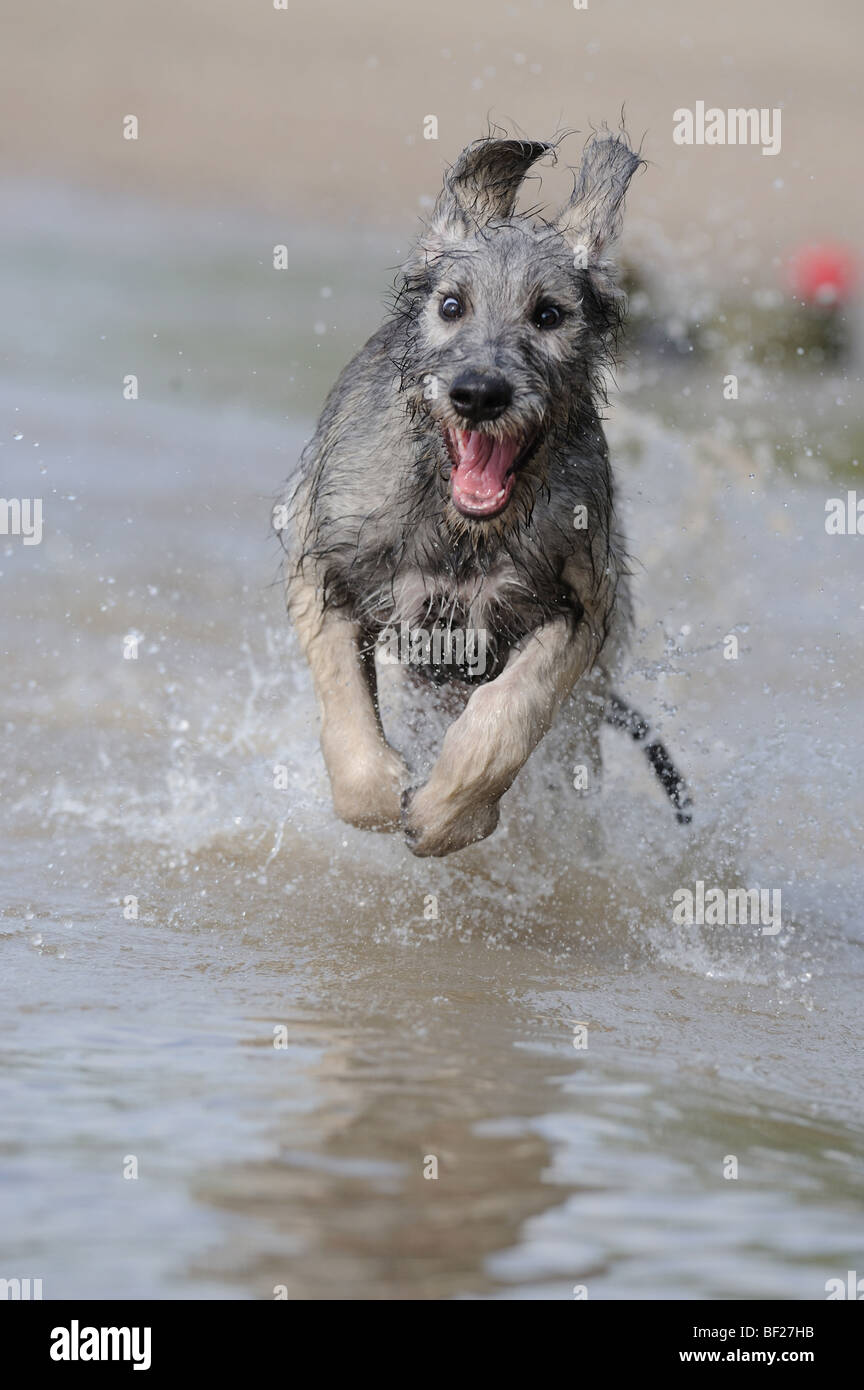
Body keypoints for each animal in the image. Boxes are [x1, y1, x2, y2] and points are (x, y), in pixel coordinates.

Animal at [283, 127, 691, 856]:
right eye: (452, 306)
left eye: (549, 314)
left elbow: (509, 714)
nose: (478, 394)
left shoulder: (578, 605)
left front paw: (447, 813)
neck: (458, 530)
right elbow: (344, 707)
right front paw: (380, 794)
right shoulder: (322, 566)